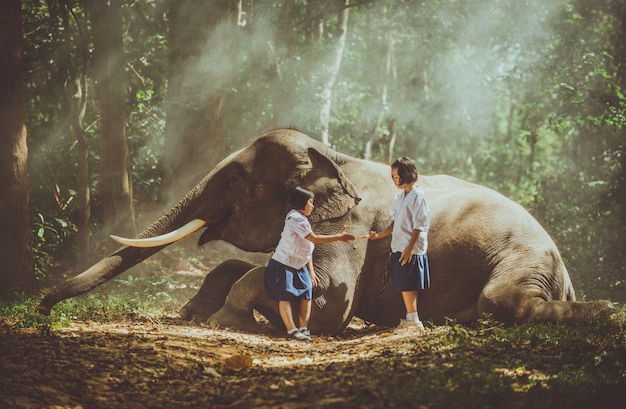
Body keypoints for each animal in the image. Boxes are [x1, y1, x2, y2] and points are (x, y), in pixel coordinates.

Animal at [36, 127, 612, 334]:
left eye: (235, 179)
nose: (41, 306)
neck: (334, 155)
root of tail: (566, 273)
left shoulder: (351, 226)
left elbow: (332, 296)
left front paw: (223, 320)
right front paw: (192, 313)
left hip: (524, 259)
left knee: (504, 302)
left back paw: (606, 311)